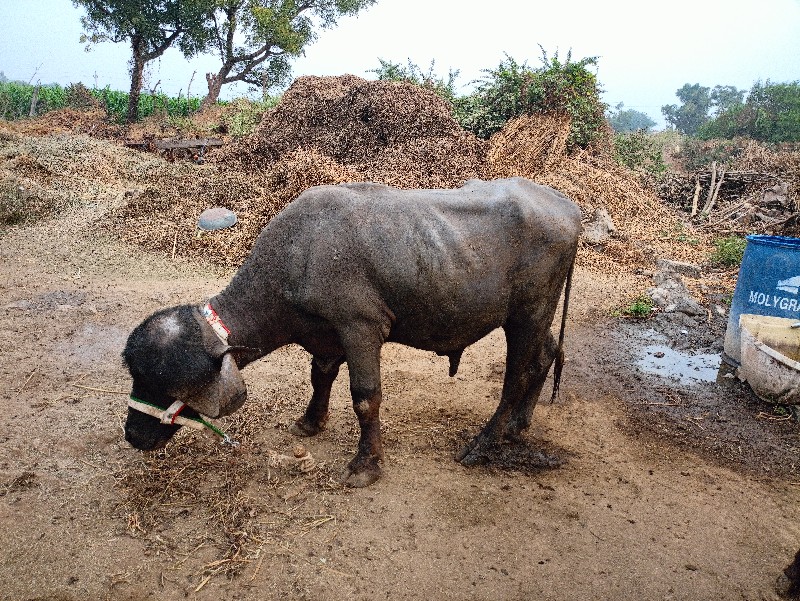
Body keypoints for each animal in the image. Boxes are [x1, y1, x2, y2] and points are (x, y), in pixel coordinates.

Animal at [123, 176, 580, 486]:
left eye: (167, 386)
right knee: (546, 355)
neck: (300, 255)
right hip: (536, 316)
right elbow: (320, 375)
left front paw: (366, 464)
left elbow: (365, 398)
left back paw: (485, 442)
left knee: (517, 373)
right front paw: (311, 422)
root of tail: (567, 206)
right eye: (136, 376)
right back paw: (519, 423)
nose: (133, 435)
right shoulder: (326, 335)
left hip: (528, 312)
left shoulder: (360, 328)